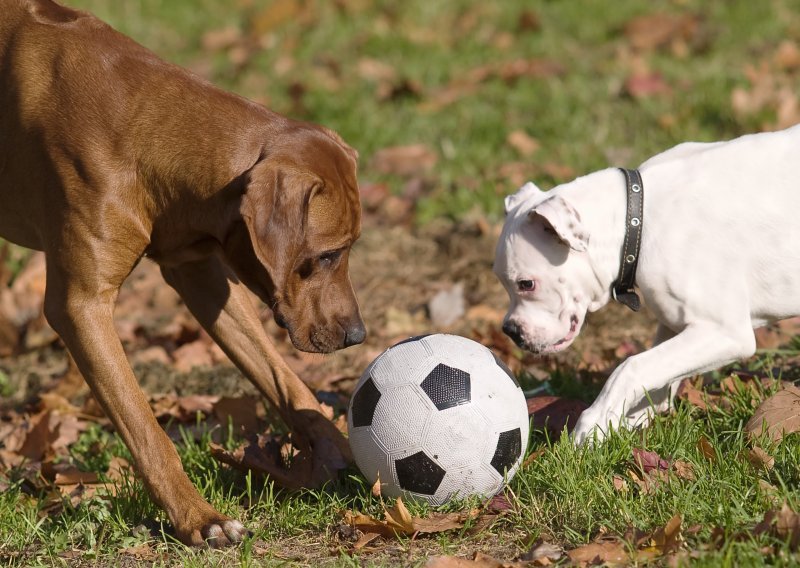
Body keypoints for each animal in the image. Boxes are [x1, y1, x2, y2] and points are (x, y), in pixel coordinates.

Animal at [0, 0, 366, 544]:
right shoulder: (81, 306)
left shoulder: (200, 273)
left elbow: (283, 379)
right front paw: (197, 517)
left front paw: (345, 454)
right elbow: (145, 429)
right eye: (326, 256)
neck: (140, 129)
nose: (358, 336)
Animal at [494, 124, 800, 444]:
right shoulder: (676, 324)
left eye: (526, 284)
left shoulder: (725, 332)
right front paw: (625, 422)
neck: (637, 219)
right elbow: (657, 379)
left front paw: (592, 425)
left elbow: (630, 367)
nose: (510, 331)